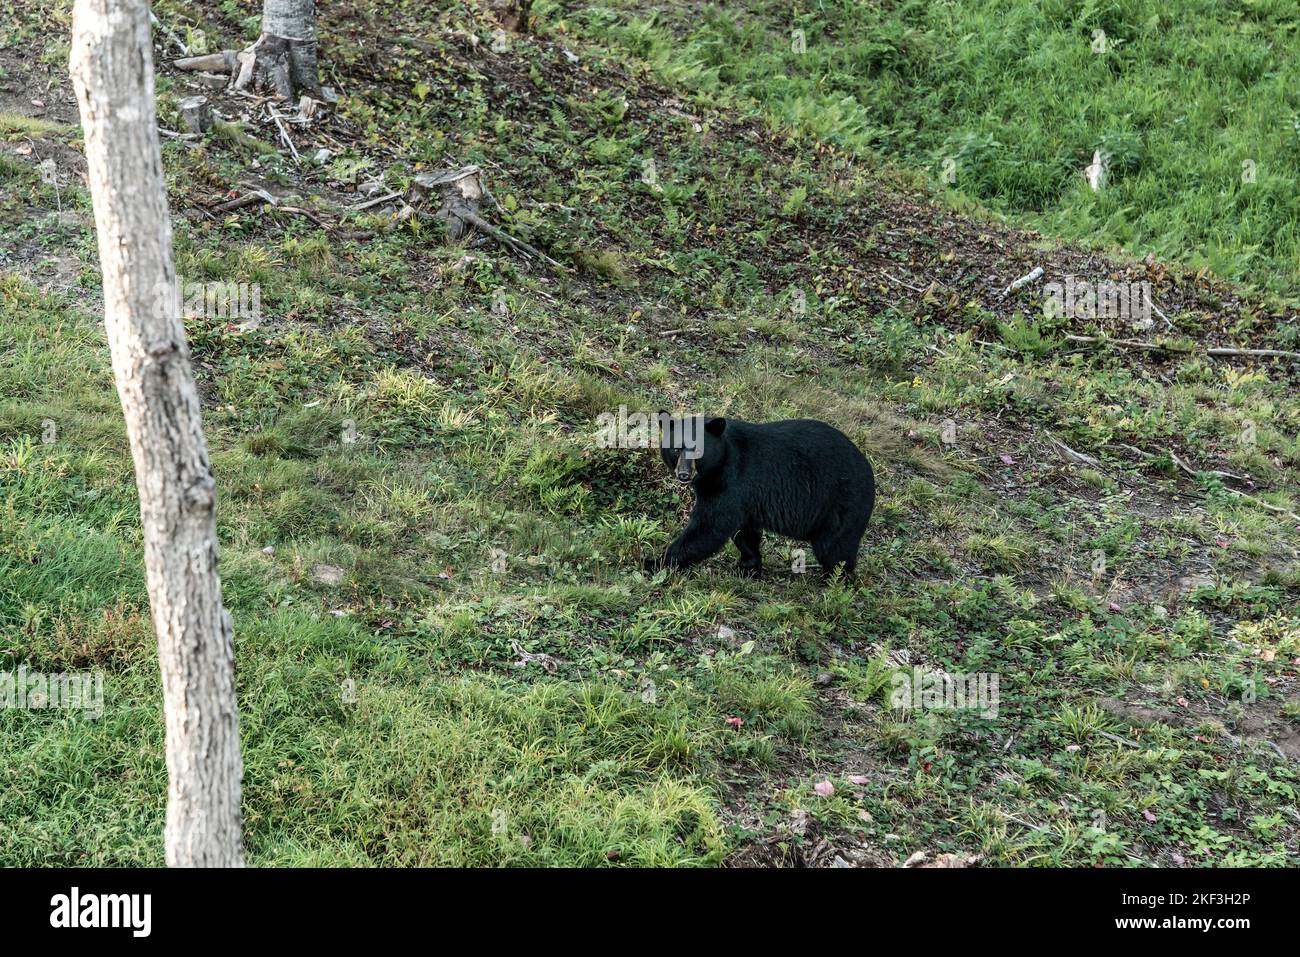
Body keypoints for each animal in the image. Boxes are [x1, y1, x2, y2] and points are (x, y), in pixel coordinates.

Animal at [645, 413, 875, 579]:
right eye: (676, 449)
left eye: (698, 450)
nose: (684, 474)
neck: (720, 463)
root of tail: (868, 470)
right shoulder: (746, 497)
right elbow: (745, 532)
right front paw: (748, 566)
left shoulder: (732, 481)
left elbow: (709, 527)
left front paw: (655, 562)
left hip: (841, 503)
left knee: (835, 549)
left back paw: (835, 580)